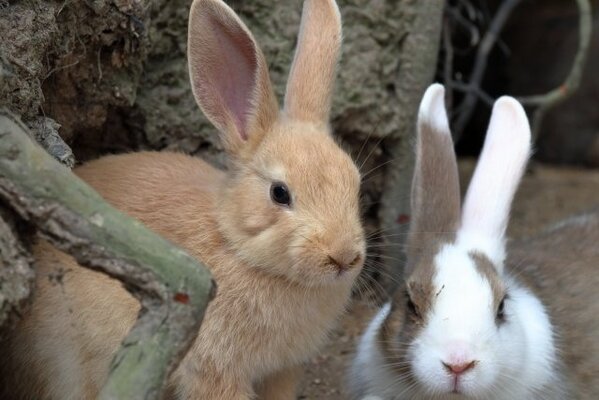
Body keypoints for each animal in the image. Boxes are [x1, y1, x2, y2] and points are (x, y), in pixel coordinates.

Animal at [0, 0, 366, 400]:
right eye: (279, 193)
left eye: (355, 183)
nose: (343, 257)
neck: (239, 248)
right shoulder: (213, 372)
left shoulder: (282, 371)